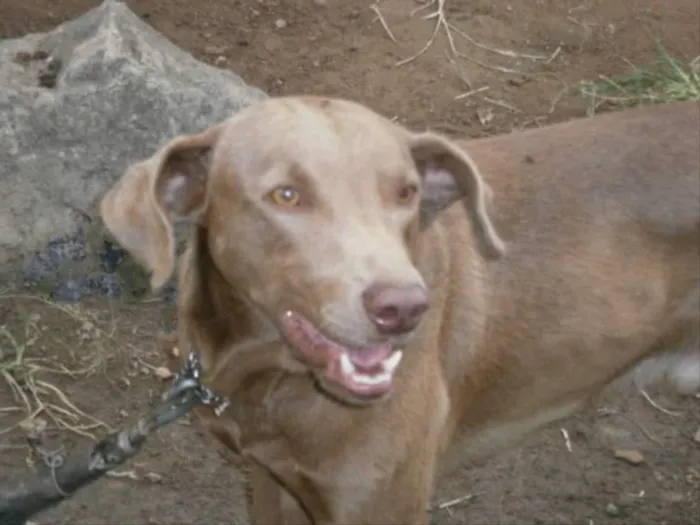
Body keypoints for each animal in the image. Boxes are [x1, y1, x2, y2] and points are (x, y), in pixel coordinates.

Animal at [100, 98, 700, 524]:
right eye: (285, 195)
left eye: (407, 193)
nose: (405, 307)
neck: (264, 379)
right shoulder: (270, 482)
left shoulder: (379, 505)